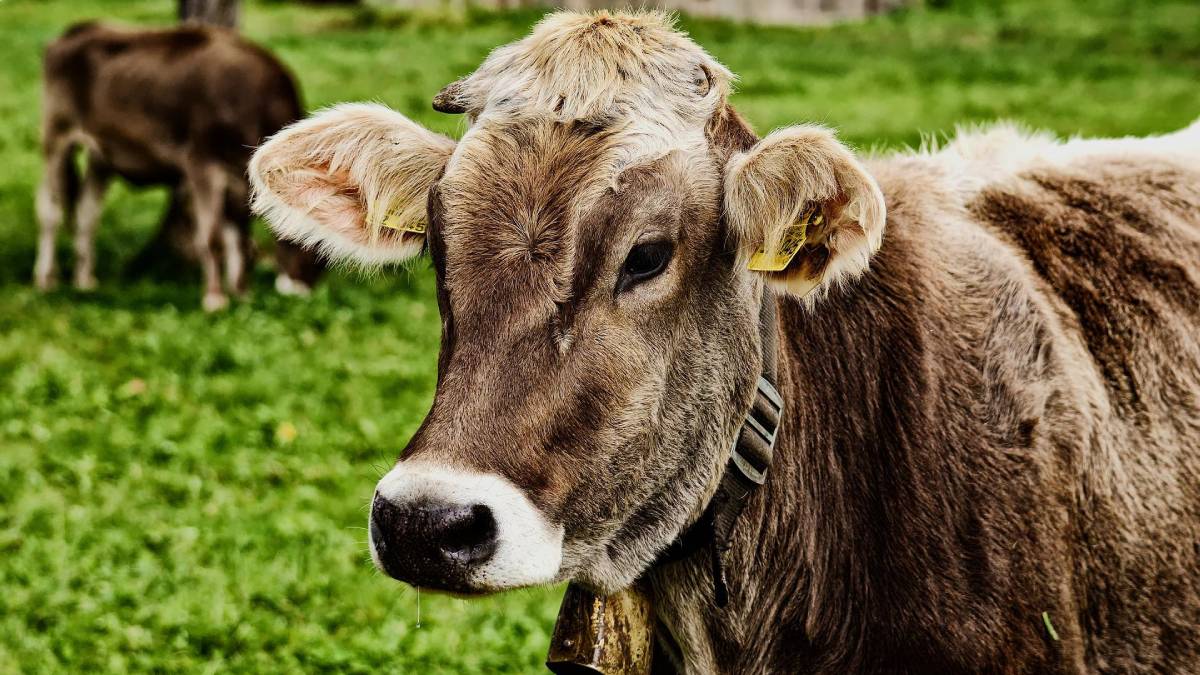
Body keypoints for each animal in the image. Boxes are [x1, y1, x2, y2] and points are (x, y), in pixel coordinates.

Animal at [35, 22, 323, 310]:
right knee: (50, 209)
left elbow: (239, 239)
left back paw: (84, 280)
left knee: (87, 212)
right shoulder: (202, 164)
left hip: (101, 154)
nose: (304, 290)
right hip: (58, 135)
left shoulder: (239, 179)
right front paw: (215, 298)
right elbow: (212, 237)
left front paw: (241, 294)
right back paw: (46, 279)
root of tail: (79, 29)